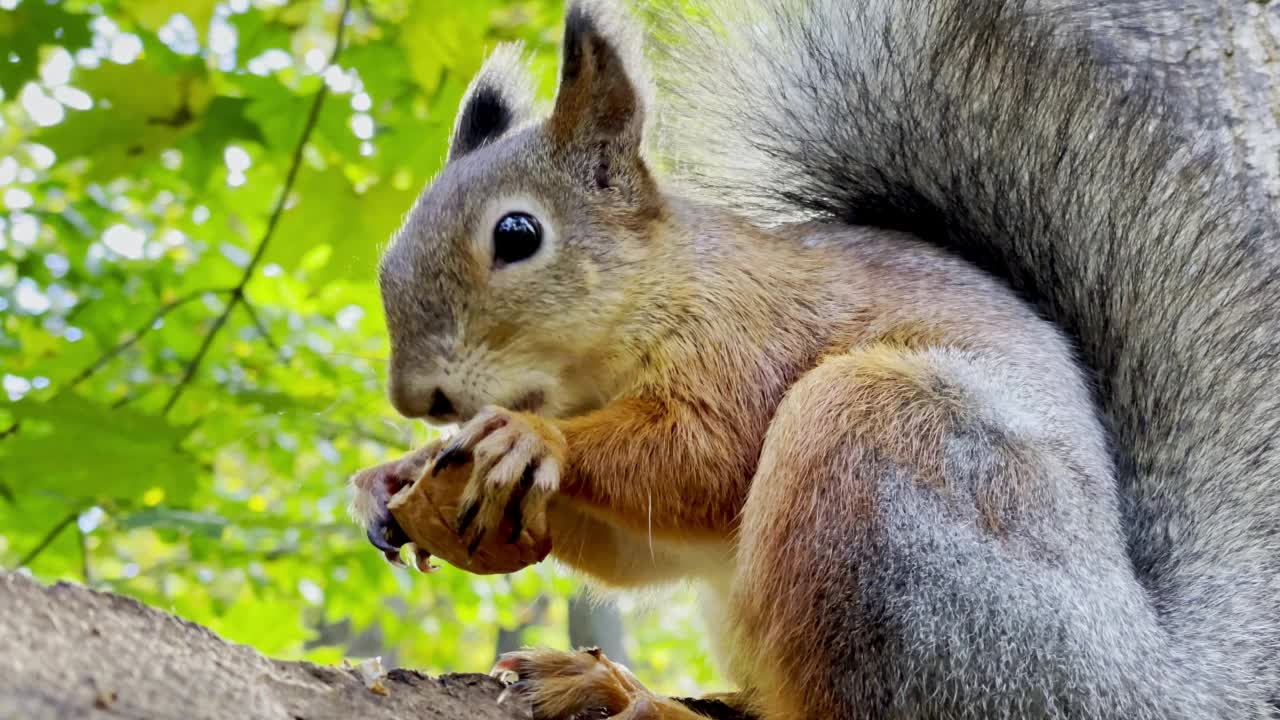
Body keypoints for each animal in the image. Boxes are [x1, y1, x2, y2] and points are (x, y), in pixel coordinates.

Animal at [345, 0, 1280, 712]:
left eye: (517, 234)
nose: (416, 399)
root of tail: (1143, 678)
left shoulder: (751, 342)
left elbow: (704, 458)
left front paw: (534, 441)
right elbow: (639, 550)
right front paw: (399, 474)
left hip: (879, 466)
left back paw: (639, 699)